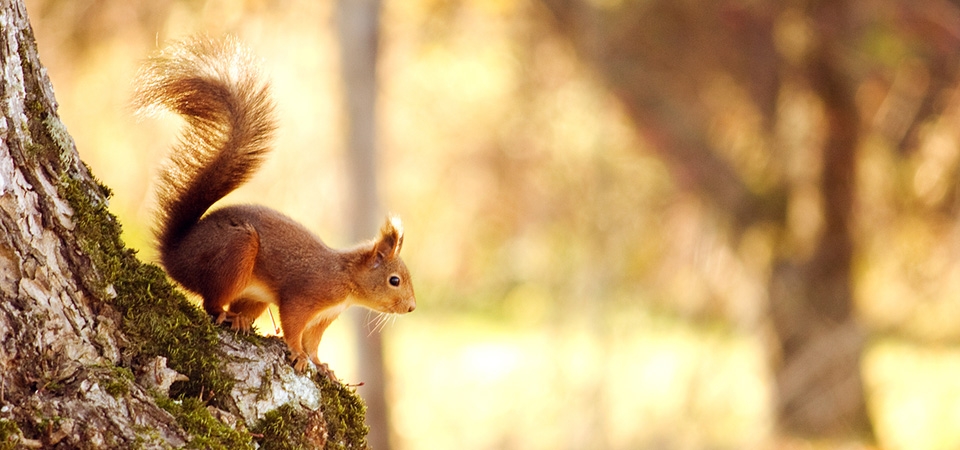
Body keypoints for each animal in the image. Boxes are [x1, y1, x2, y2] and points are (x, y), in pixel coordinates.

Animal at [136, 35, 416, 372]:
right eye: (394, 280)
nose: (412, 307)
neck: (345, 279)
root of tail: (175, 255)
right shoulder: (305, 296)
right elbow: (294, 326)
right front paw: (297, 354)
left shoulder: (324, 317)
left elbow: (314, 342)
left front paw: (321, 365)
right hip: (235, 251)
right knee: (210, 302)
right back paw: (227, 315)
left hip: (255, 295)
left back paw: (241, 319)